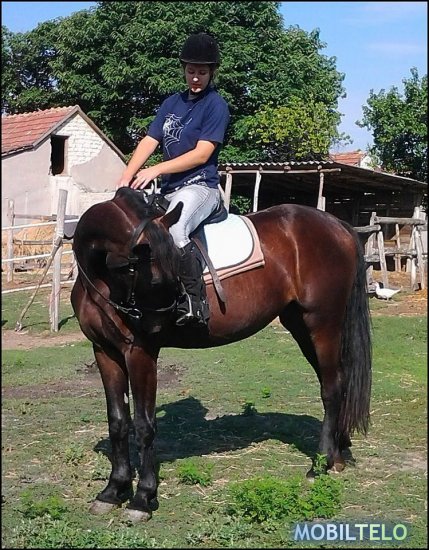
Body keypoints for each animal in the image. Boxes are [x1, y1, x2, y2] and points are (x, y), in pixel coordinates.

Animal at [71, 186, 372, 522]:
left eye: (172, 275)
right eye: (151, 277)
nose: (153, 326)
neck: (101, 281)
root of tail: (337, 225)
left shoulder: (140, 354)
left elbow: (144, 426)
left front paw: (142, 498)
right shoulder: (105, 352)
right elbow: (118, 422)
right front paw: (113, 490)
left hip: (322, 324)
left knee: (331, 389)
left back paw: (320, 463)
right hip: (302, 326)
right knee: (337, 382)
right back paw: (338, 453)